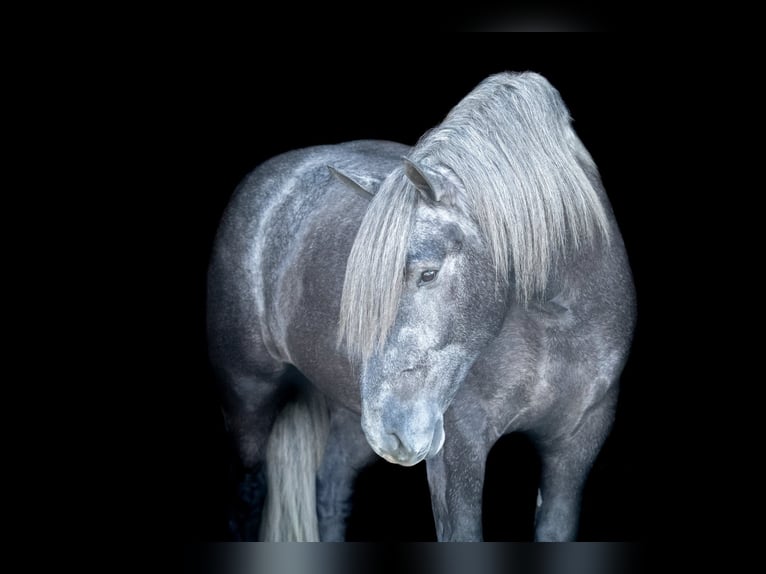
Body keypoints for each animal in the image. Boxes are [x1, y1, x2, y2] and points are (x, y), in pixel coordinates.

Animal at [207, 71, 635, 541]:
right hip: (249, 396)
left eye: (428, 274)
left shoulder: (576, 446)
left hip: (349, 419)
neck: (556, 323)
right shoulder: (459, 450)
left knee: (330, 490)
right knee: (247, 496)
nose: (393, 431)